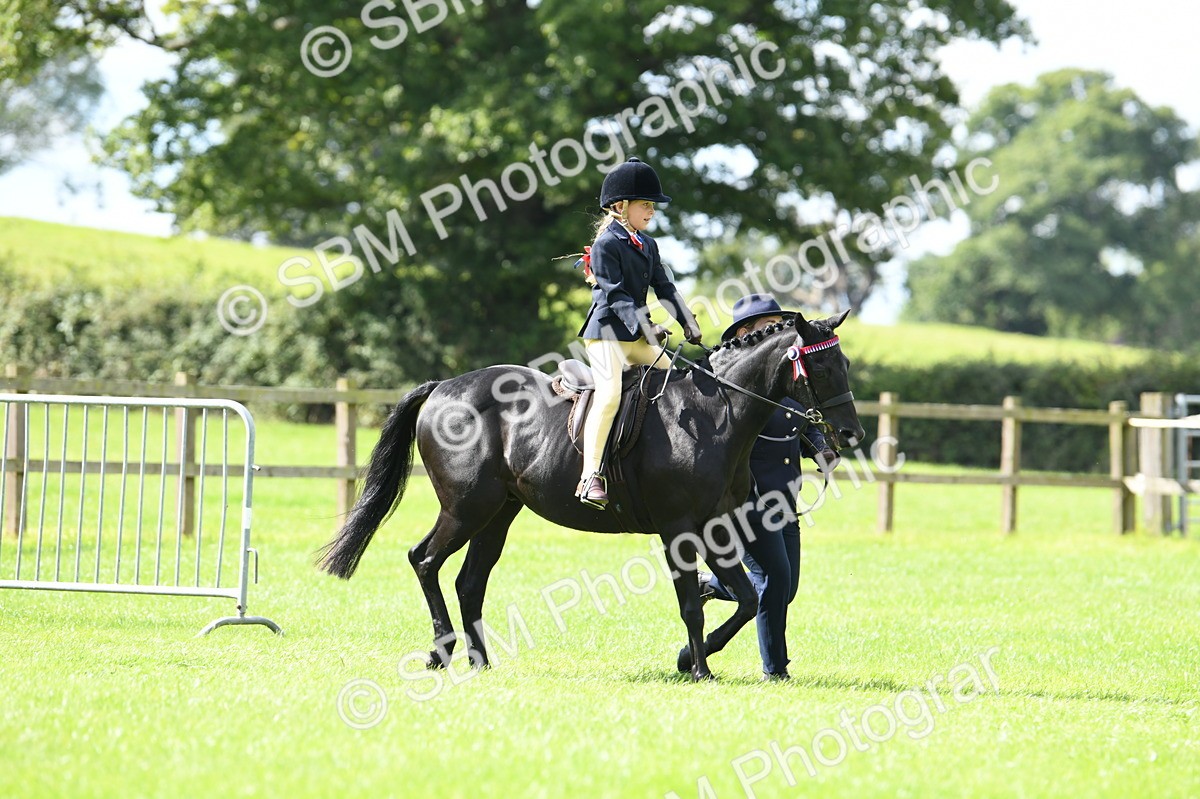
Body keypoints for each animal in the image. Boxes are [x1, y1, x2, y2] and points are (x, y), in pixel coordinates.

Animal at [318, 310, 865, 680]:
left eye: (845, 362)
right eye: (822, 369)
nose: (851, 434)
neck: (715, 413)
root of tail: (442, 388)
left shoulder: (719, 528)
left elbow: (748, 599)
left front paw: (692, 658)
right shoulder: (679, 531)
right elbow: (693, 602)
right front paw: (700, 670)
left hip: (498, 514)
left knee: (470, 583)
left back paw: (480, 661)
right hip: (466, 508)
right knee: (425, 560)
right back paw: (442, 650)